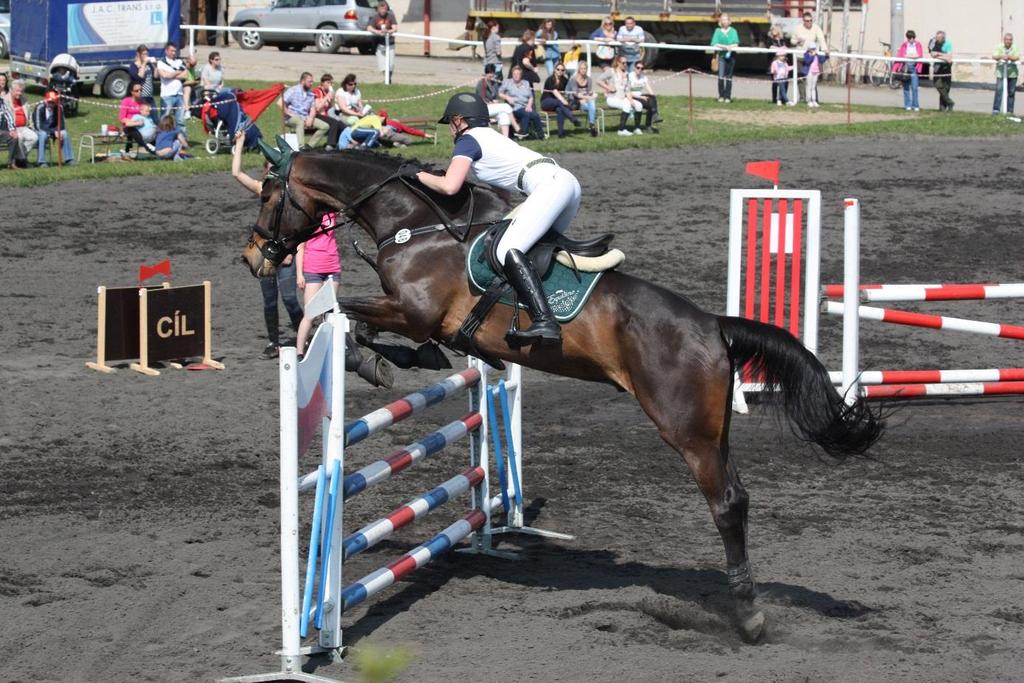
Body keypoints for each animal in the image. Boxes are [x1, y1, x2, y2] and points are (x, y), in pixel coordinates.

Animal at [237, 147, 880, 643]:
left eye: (268, 196)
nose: (251, 258)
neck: (416, 221)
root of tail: (712, 326)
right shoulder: (414, 315)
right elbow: (357, 319)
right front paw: (396, 359)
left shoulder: (413, 311)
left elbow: (339, 311)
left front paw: (361, 357)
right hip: (712, 427)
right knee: (738, 496)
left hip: (685, 429)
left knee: (724, 503)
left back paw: (747, 618)